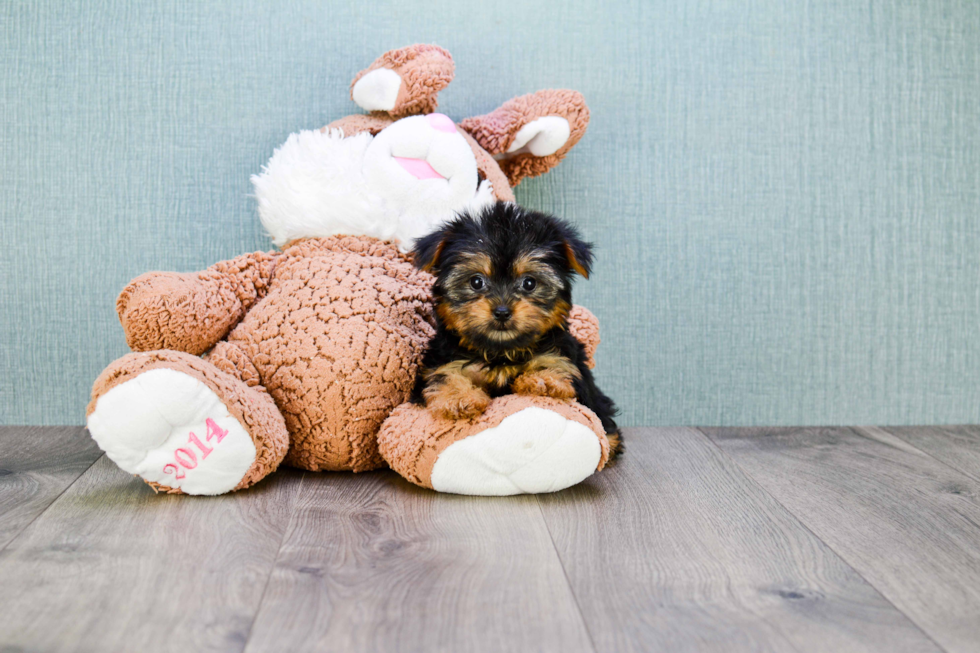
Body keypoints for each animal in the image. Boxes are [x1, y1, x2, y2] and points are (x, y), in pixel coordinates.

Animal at [410, 201, 624, 456]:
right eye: (476, 282)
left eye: (529, 283)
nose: (502, 311)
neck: (501, 351)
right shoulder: (443, 361)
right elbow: (444, 376)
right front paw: (459, 398)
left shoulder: (564, 356)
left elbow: (555, 364)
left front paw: (543, 380)